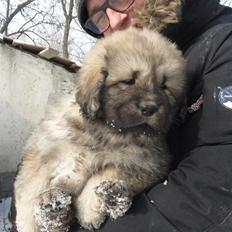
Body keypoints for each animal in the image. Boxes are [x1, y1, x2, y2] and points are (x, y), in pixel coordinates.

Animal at [14, 27, 185, 232]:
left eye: (164, 86)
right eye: (128, 81)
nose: (149, 108)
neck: (104, 130)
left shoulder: (146, 165)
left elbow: (105, 174)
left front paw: (90, 211)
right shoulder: (42, 154)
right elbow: (29, 192)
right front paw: (33, 222)